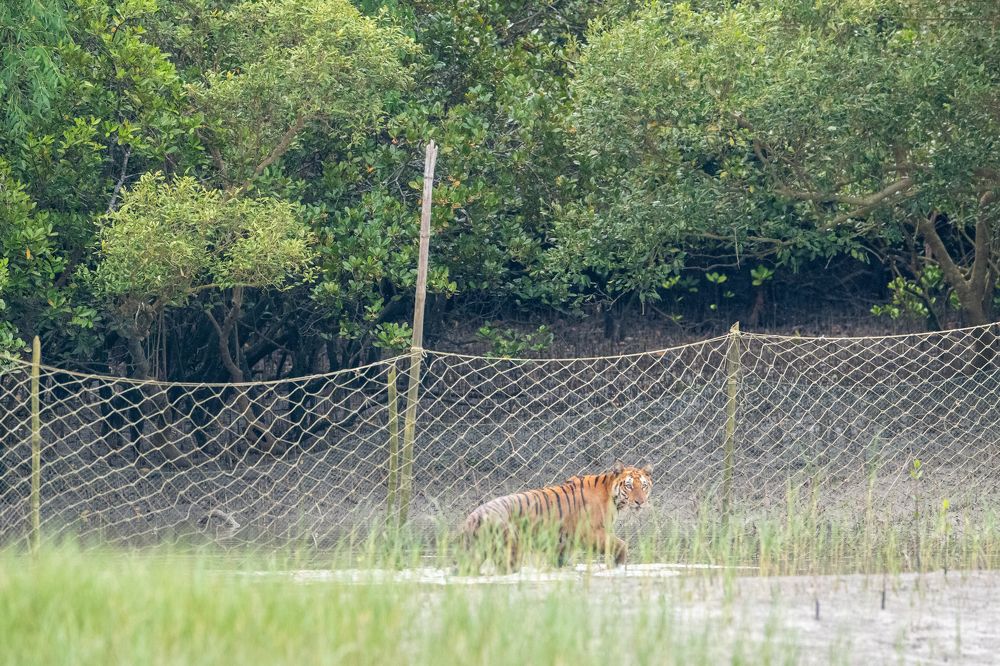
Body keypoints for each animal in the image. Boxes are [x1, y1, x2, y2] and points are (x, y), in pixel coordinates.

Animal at [461, 461, 653, 572]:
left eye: (643, 486)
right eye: (629, 486)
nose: (640, 502)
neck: (612, 496)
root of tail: (472, 517)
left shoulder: (564, 542)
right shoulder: (590, 533)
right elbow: (620, 545)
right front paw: (619, 565)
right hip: (509, 549)